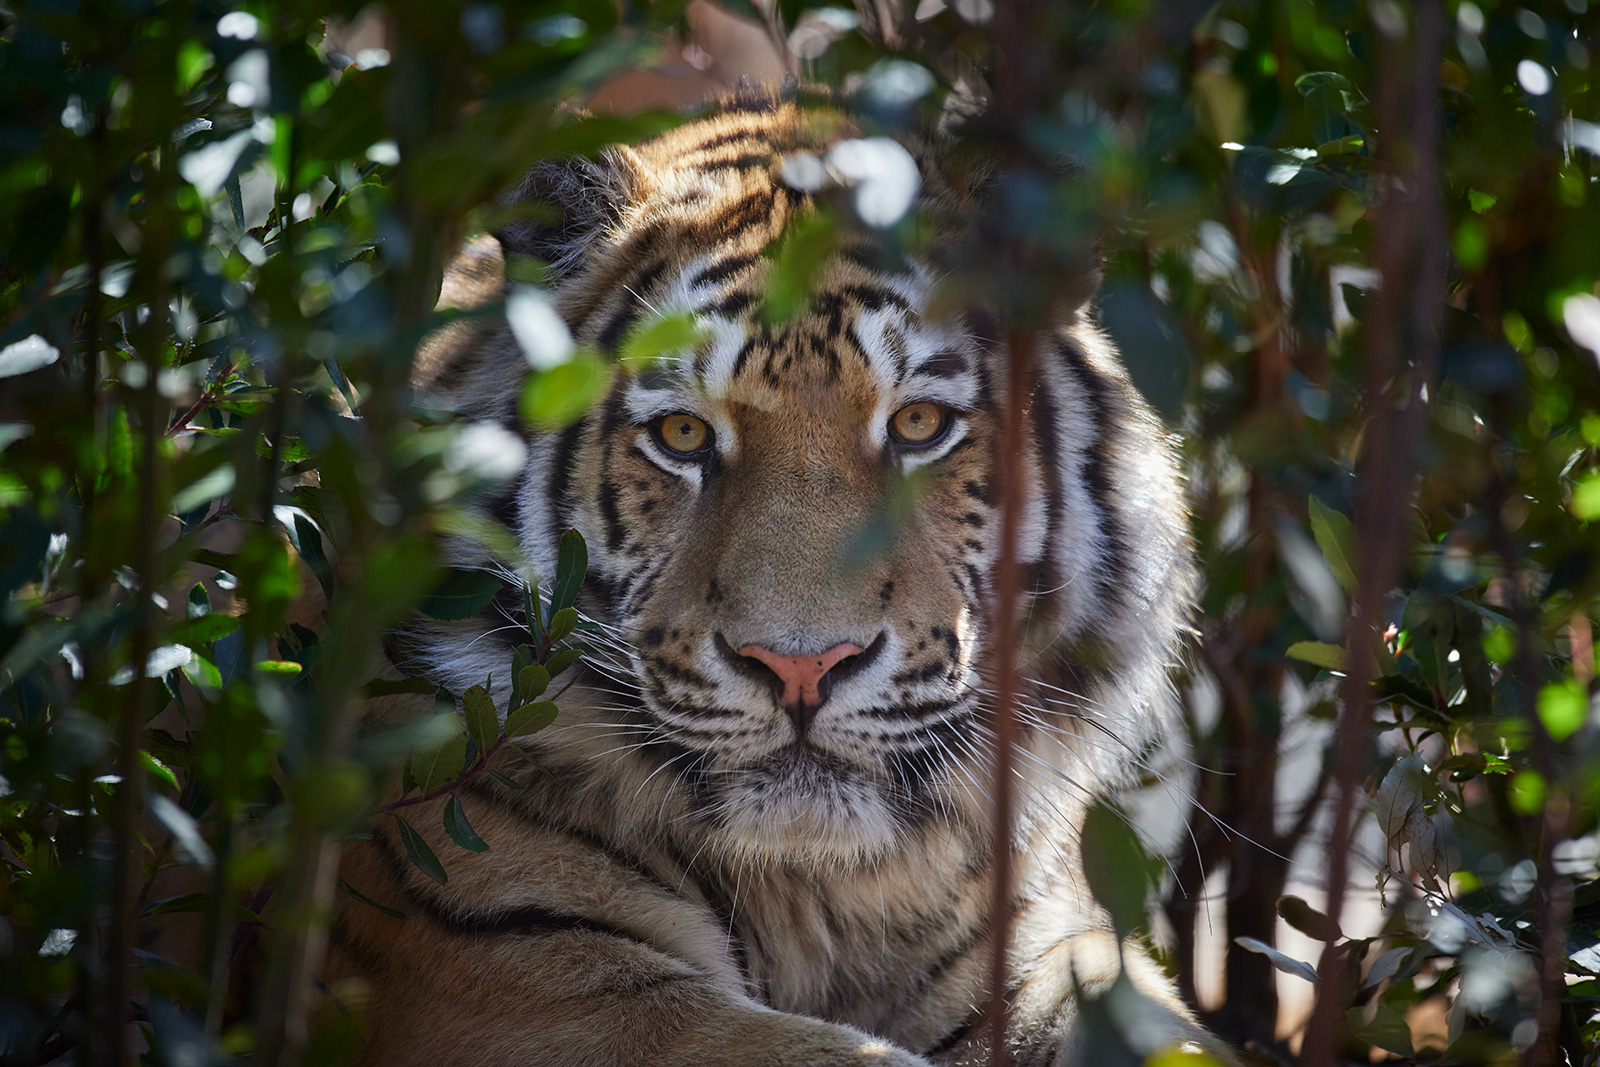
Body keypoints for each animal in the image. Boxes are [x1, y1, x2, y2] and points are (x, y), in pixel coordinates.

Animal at [326, 89, 1233, 1067]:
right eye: (684, 434)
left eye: (918, 424)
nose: (803, 666)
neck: (821, 891)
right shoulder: (527, 968)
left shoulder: (1043, 944)